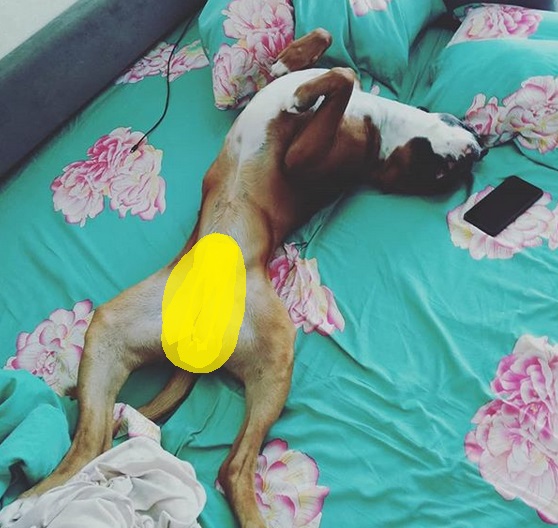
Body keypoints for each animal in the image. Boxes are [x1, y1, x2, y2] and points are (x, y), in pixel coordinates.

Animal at [0, 28, 488, 528]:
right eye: (443, 171)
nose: (479, 150)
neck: (384, 137)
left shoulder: (304, 158)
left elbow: (344, 76)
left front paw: (305, 93)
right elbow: (320, 51)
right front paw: (294, 68)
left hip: (274, 358)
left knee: (231, 467)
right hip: (111, 331)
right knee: (88, 448)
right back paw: (30, 502)